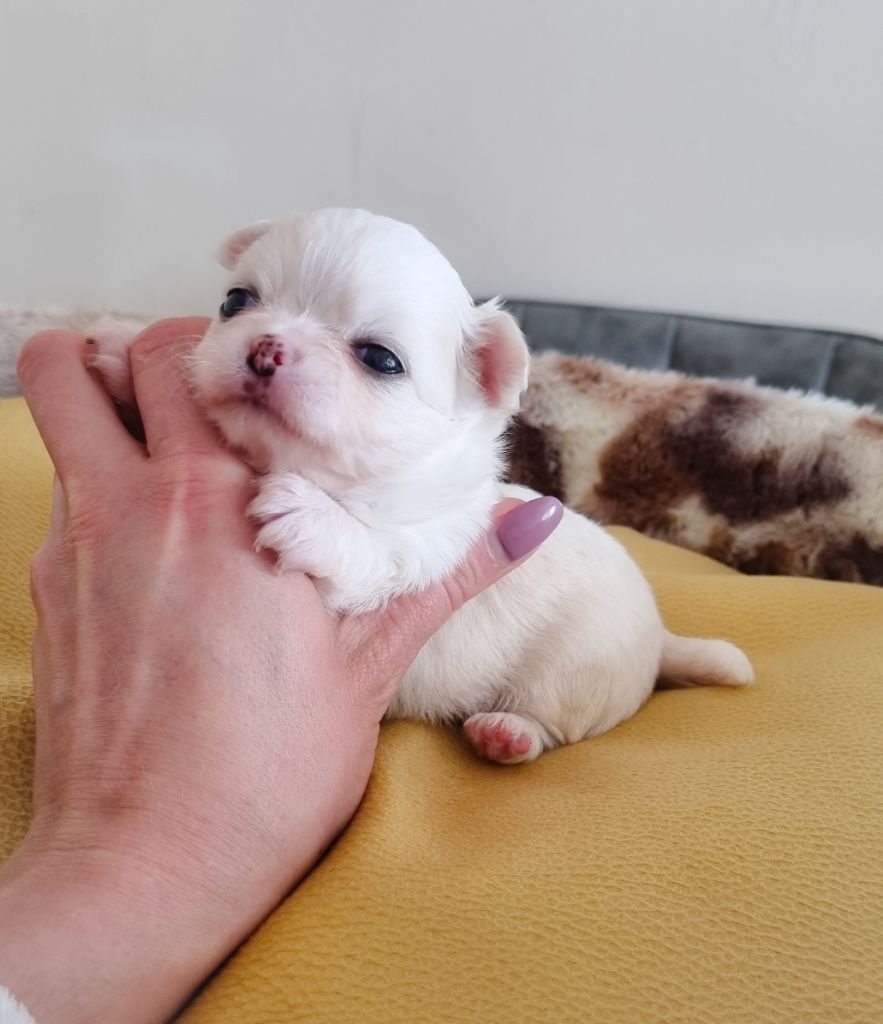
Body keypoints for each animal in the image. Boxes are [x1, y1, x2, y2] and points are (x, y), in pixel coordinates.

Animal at [88, 208, 754, 764]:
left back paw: (507, 735)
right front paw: (121, 350)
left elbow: (372, 551)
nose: (265, 348)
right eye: (234, 302)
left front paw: (311, 517)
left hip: (573, 669)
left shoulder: (417, 555)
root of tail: (661, 638)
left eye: (381, 359)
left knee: (553, 721)